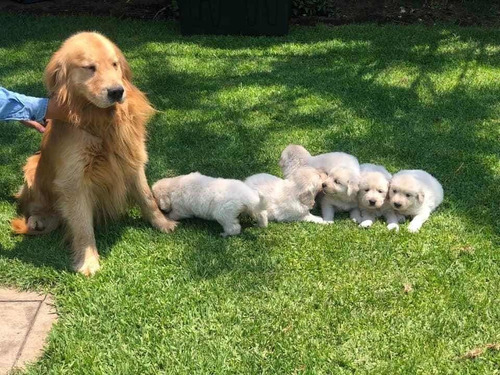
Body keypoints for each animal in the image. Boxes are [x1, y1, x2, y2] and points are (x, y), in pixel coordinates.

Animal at [11, 31, 177, 276]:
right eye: (90, 67)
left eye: (115, 64)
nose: (117, 91)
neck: (101, 123)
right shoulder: (73, 180)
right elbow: (82, 226)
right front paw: (88, 261)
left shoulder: (133, 160)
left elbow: (148, 199)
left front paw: (163, 223)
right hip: (31, 166)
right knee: (34, 206)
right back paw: (37, 220)